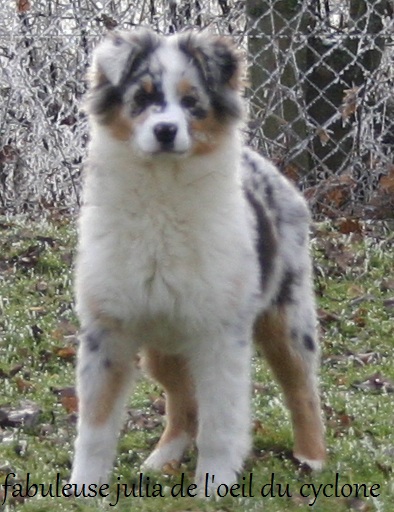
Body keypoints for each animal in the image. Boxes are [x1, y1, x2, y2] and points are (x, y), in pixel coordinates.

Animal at [69, 28, 324, 492]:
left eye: (192, 102)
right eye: (142, 97)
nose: (166, 130)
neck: (161, 199)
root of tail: (264, 163)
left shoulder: (220, 334)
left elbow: (221, 423)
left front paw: (213, 486)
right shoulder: (108, 329)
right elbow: (95, 427)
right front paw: (82, 490)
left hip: (287, 317)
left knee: (302, 389)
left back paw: (313, 459)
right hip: (161, 347)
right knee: (183, 401)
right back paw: (162, 458)